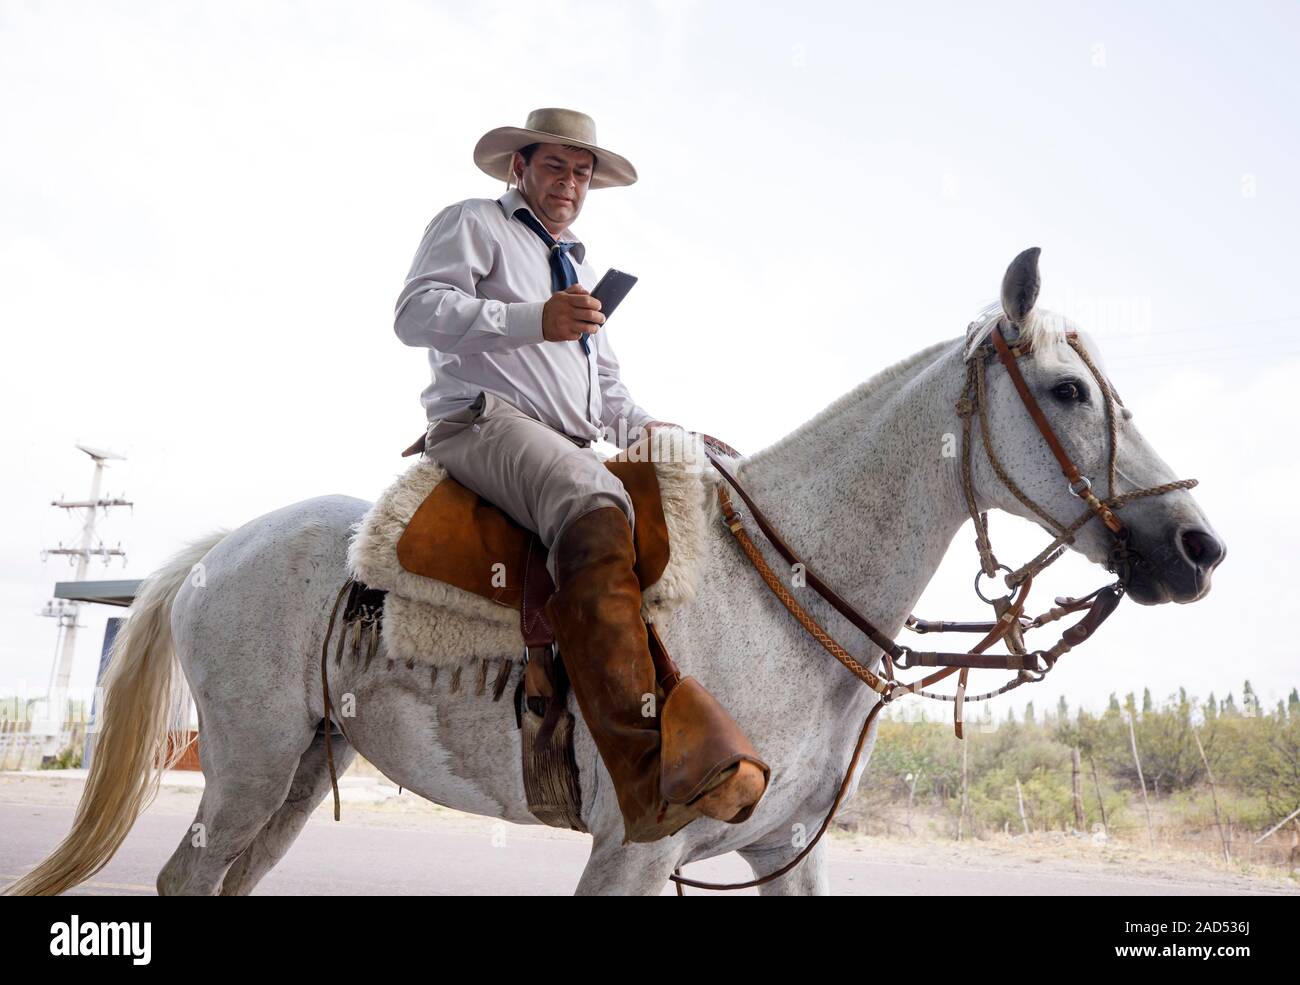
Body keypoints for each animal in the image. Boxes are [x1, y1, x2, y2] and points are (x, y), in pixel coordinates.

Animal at [5, 250, 1222, 899]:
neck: (780, 595)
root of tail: (218, 552)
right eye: (1067, 390)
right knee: (187, 878)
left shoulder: (783, 850)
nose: (1198, 547)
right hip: (250, 765)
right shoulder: (635, 848)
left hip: (305, 765)